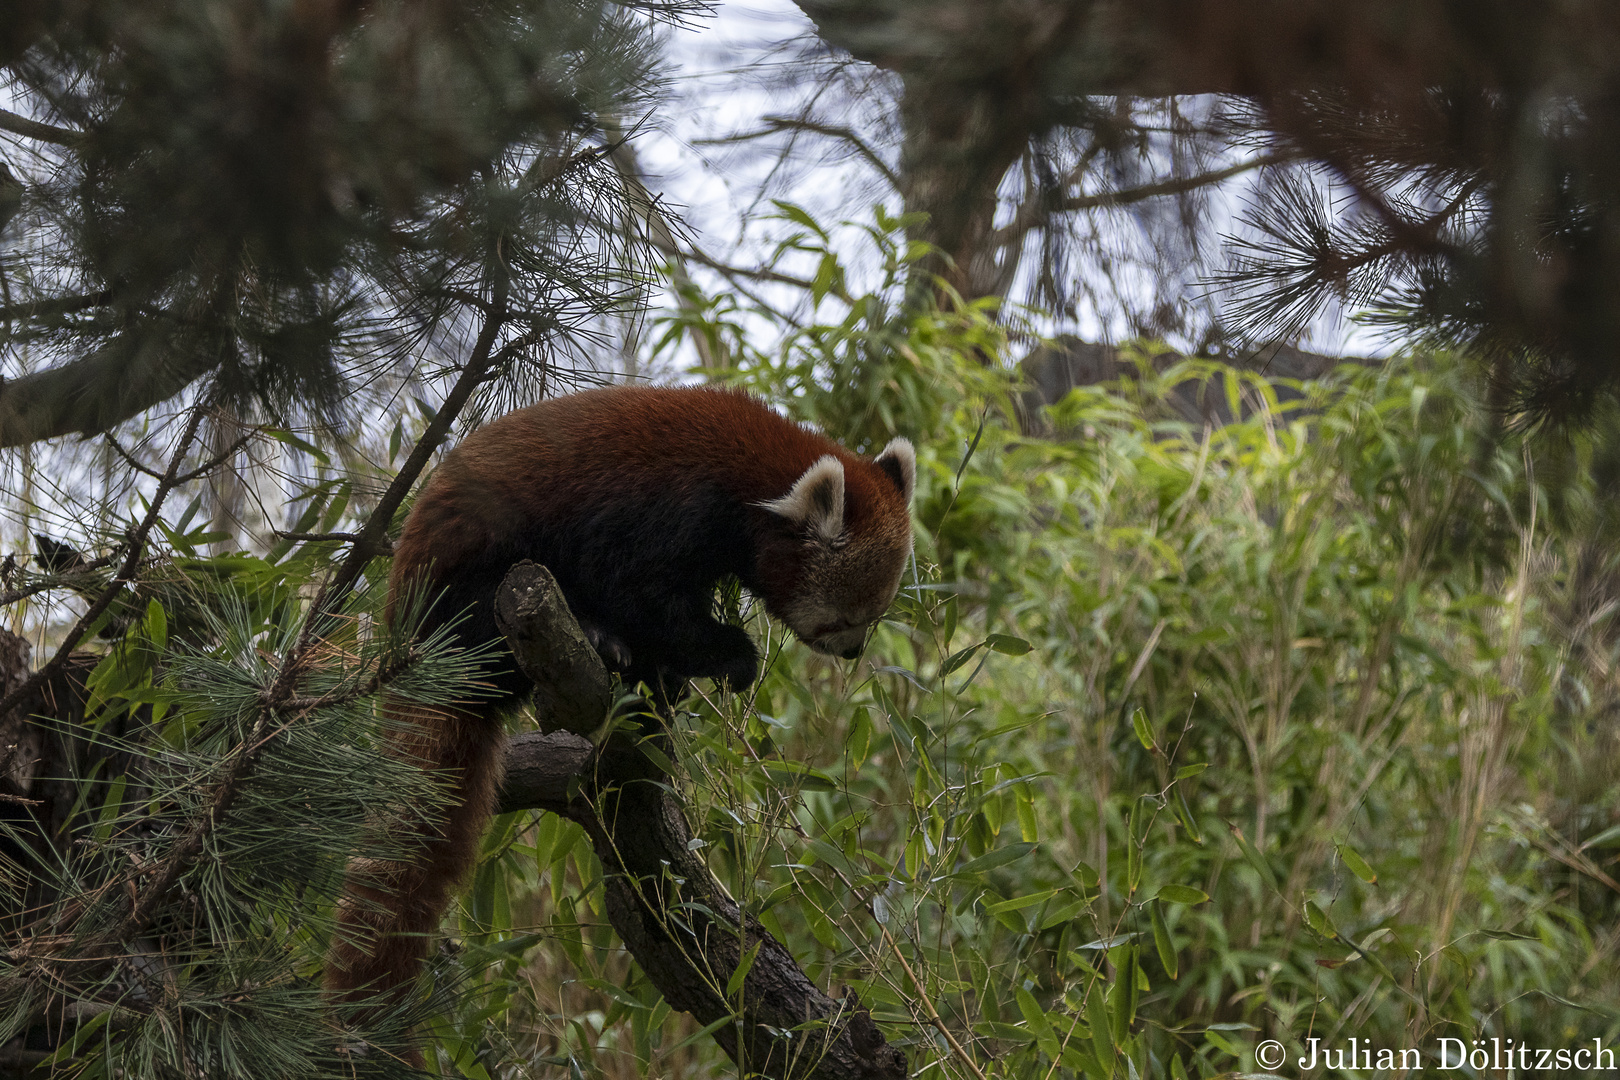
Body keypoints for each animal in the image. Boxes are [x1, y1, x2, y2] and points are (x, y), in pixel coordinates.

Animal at [322, 386, 920, 1016]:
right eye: (846, 620)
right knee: (487, 612)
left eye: (873, 617)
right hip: (474, 566)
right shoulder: (662, 507)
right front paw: (727, 653)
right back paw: (596, 636)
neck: (754, 472)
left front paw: (670, 675)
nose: (855, 651)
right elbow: (639, 592)